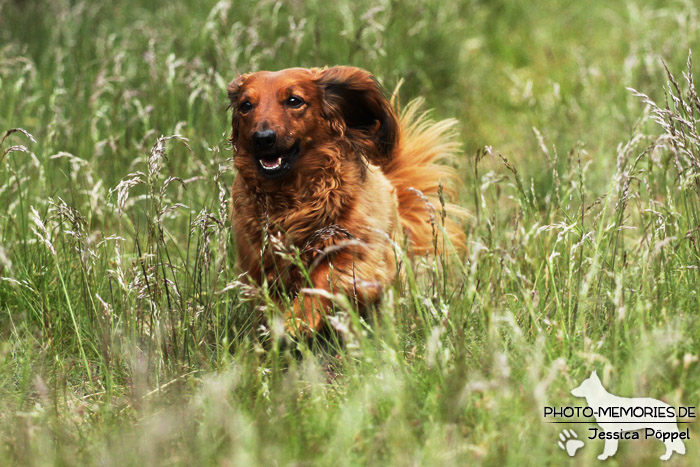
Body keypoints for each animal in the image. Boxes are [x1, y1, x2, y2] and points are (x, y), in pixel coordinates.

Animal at [228, 66, 464, 336]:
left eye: (294, 101)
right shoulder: (261, 264)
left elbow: (323, 280)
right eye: (246, 105)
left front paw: (297, 321)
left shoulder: (356, 252)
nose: (262, 138)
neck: (292, 200)